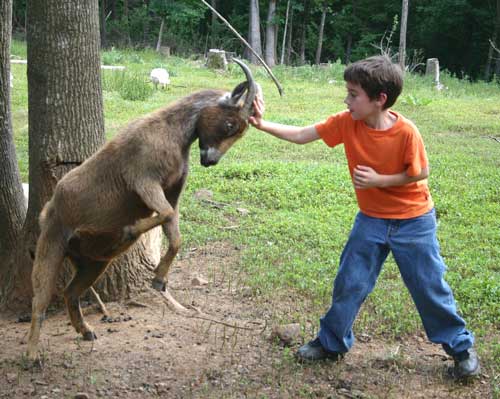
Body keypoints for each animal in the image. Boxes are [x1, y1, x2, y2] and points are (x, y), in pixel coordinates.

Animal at [26, 59, 262, 362]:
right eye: (231, 123)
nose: (210, 160)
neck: (171, 132)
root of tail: (49, 208)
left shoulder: (171, 191)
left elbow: (174, 230)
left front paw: (159, 280)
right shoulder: (143, 179)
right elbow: (165, 215)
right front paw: (129, 232)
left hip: (93, 263)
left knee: (70, 293)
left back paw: (86, 331)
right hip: (51, 244)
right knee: (40, 299)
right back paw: (32, 355)